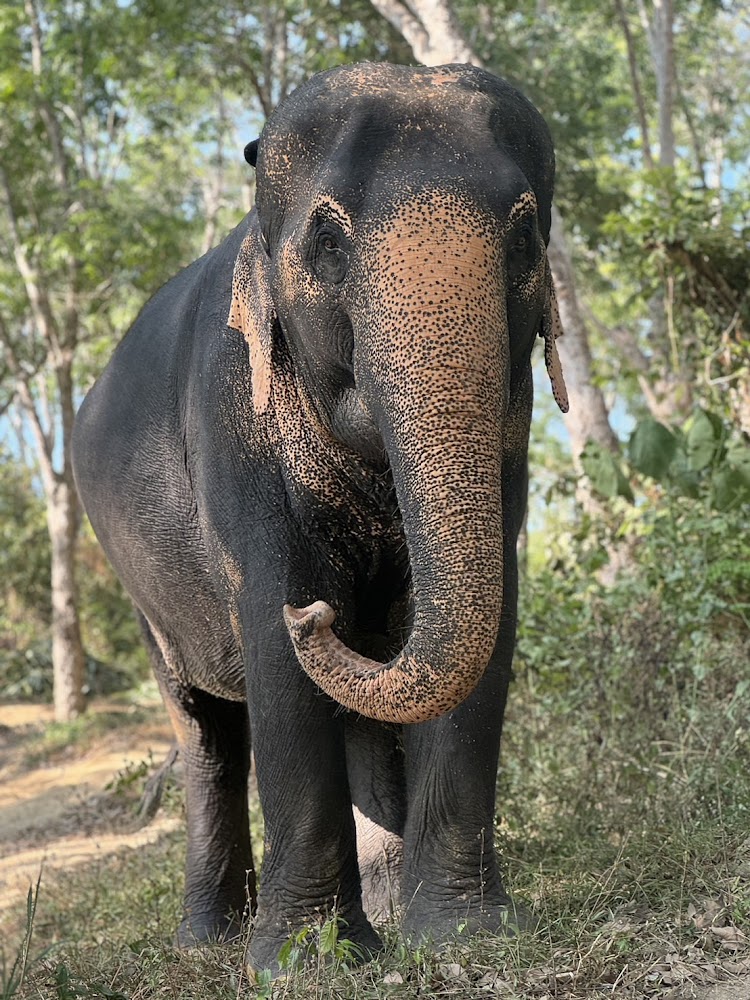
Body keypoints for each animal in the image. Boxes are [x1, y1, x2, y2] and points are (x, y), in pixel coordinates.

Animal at [72, 61, 568, 974]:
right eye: (329, 242)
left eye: (524, 235)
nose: (319, 617)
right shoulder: (233, 418)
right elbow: (274, 640)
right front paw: (304, 961)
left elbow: (489, 622)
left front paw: (459, 933)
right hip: (138, 594)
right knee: (205, 732)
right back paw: (207, 940)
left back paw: (382, 907)